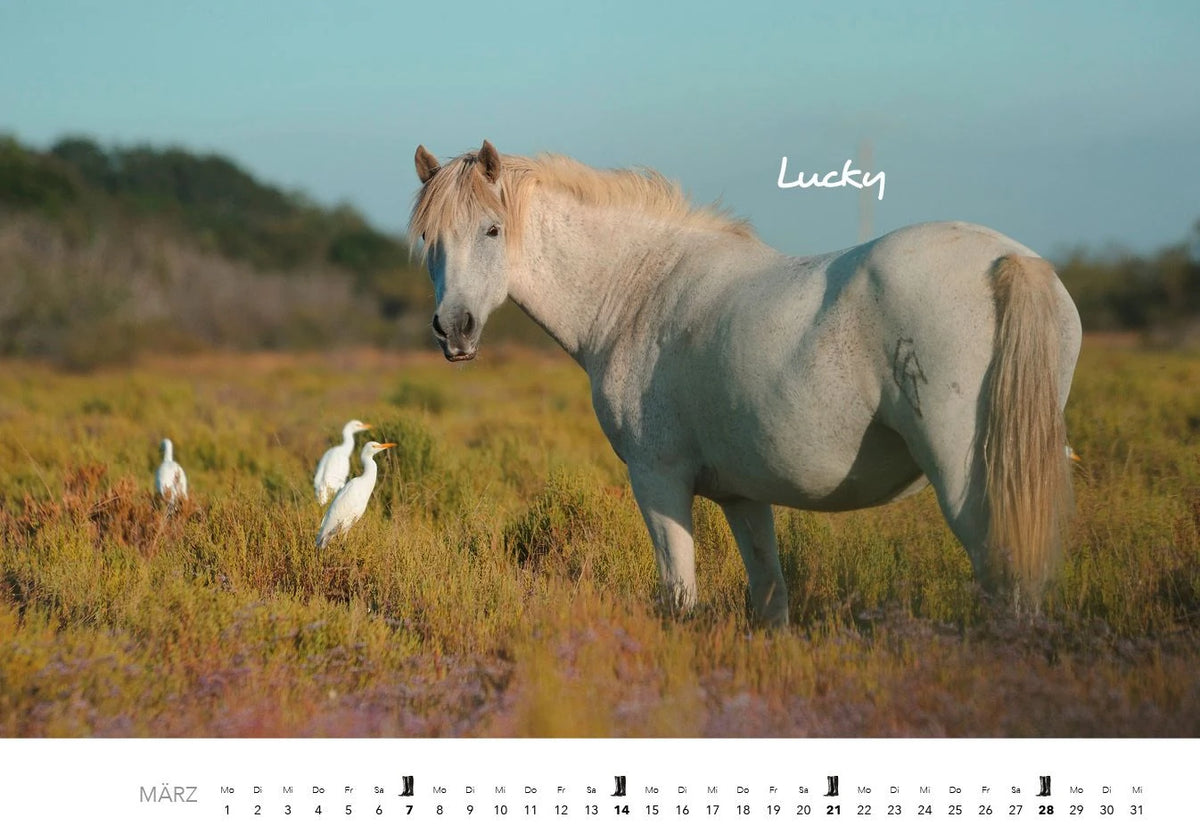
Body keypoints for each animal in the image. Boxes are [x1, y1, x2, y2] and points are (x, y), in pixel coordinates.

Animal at [409, 140, 1081, 626]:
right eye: (429, 239)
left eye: (493, 230)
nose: (454, 329)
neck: (640, 287)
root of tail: (1009, 262)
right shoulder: (743, 496)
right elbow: (769, 596)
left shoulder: (658, 480)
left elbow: (680, 598)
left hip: (969, 483)